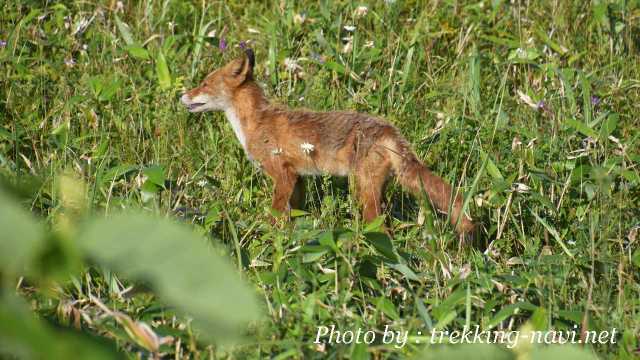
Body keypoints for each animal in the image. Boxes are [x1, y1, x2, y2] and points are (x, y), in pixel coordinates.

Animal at [180, 49, 476, 235]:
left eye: (204, 84)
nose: (182, 96)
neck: (255, 122)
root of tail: (390, 130)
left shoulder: (282, 175)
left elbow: (274, 216)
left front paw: (266, 236)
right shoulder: (297, 178)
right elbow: (295, 214)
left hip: (364, 191)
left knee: (382, 229)